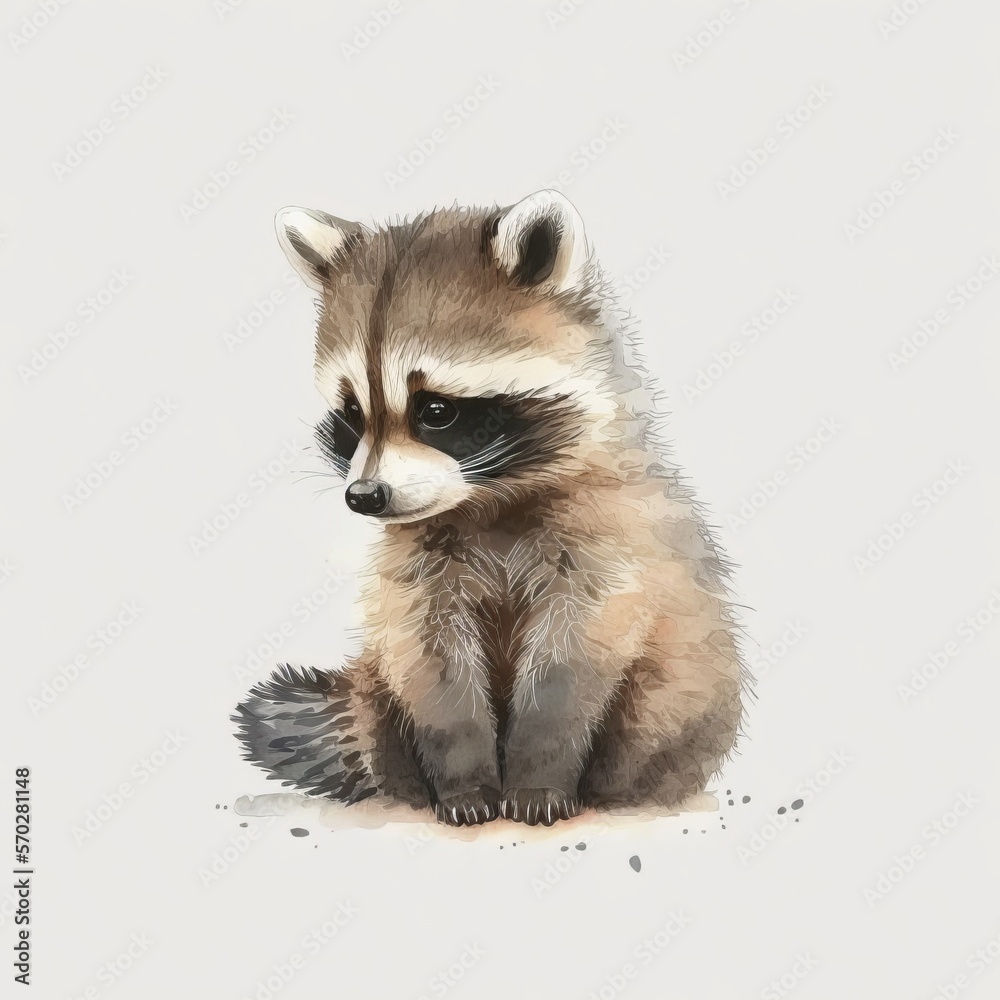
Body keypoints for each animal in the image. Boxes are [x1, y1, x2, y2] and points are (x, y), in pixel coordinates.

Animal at [233, 190, 748, 827]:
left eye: (435, 410)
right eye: (353, 413)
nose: (365, 497)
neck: (485, 498)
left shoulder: (606, 542)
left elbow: (569, 664)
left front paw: (540, 777)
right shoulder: (417, 570)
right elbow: (432, 663)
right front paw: (466, 784)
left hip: (691, 687)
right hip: (374, 701)